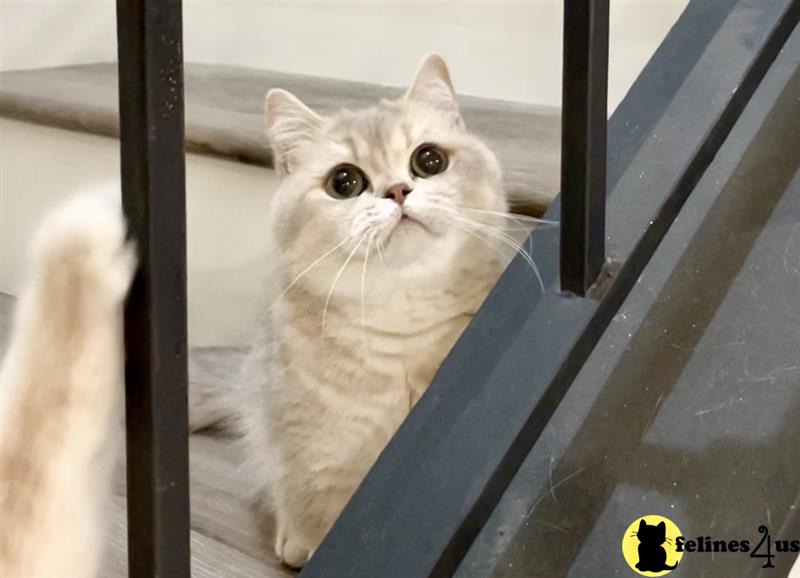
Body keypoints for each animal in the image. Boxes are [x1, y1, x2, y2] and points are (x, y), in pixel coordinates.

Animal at [188, 51, 524, 564]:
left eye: (429, 160)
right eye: (343, 182)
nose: (398, 191)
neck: (402, 319)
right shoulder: (310, 443)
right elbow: (314, 496)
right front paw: (306, 545)